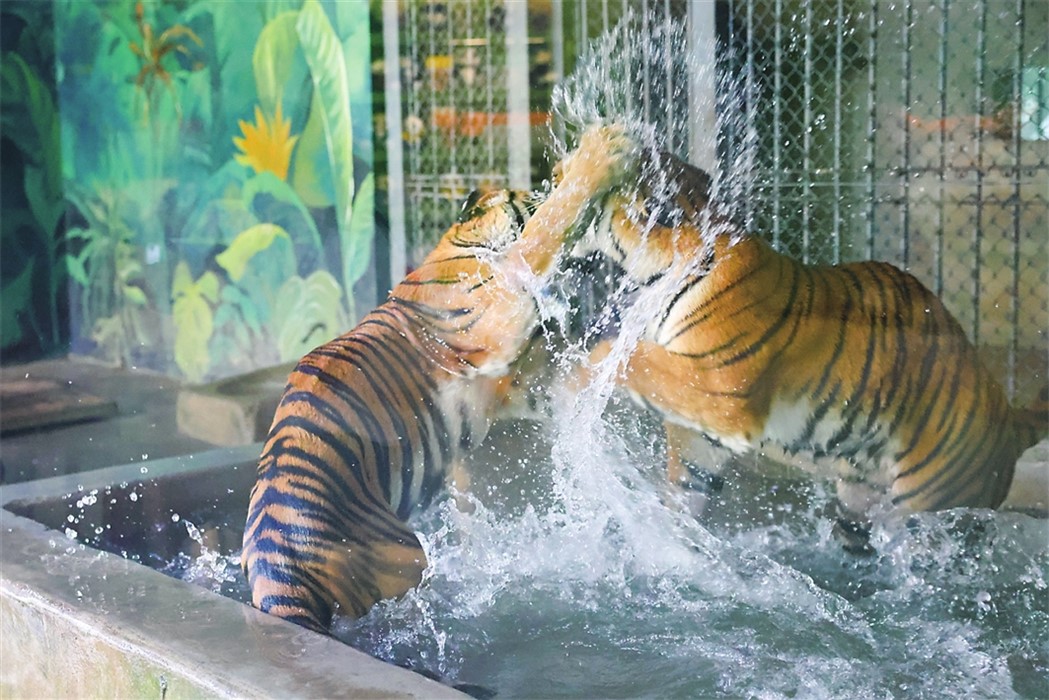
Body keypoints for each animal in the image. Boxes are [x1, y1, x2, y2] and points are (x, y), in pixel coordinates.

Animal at [240, 124, 639, 631]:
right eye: (538, 188)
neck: (462, 242)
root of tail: (278, 565)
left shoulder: (512, 382)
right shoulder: (505, 305)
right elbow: (549, 226)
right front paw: (607, 153)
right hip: (403, 556)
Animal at [564, 132, 1048, 553]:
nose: (556, 172)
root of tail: (1009, 418)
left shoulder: (724, 390)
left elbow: (632, 359)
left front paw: (573, 381)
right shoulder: (702, 436)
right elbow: (686, 479)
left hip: (929, 507)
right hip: (859, 503)